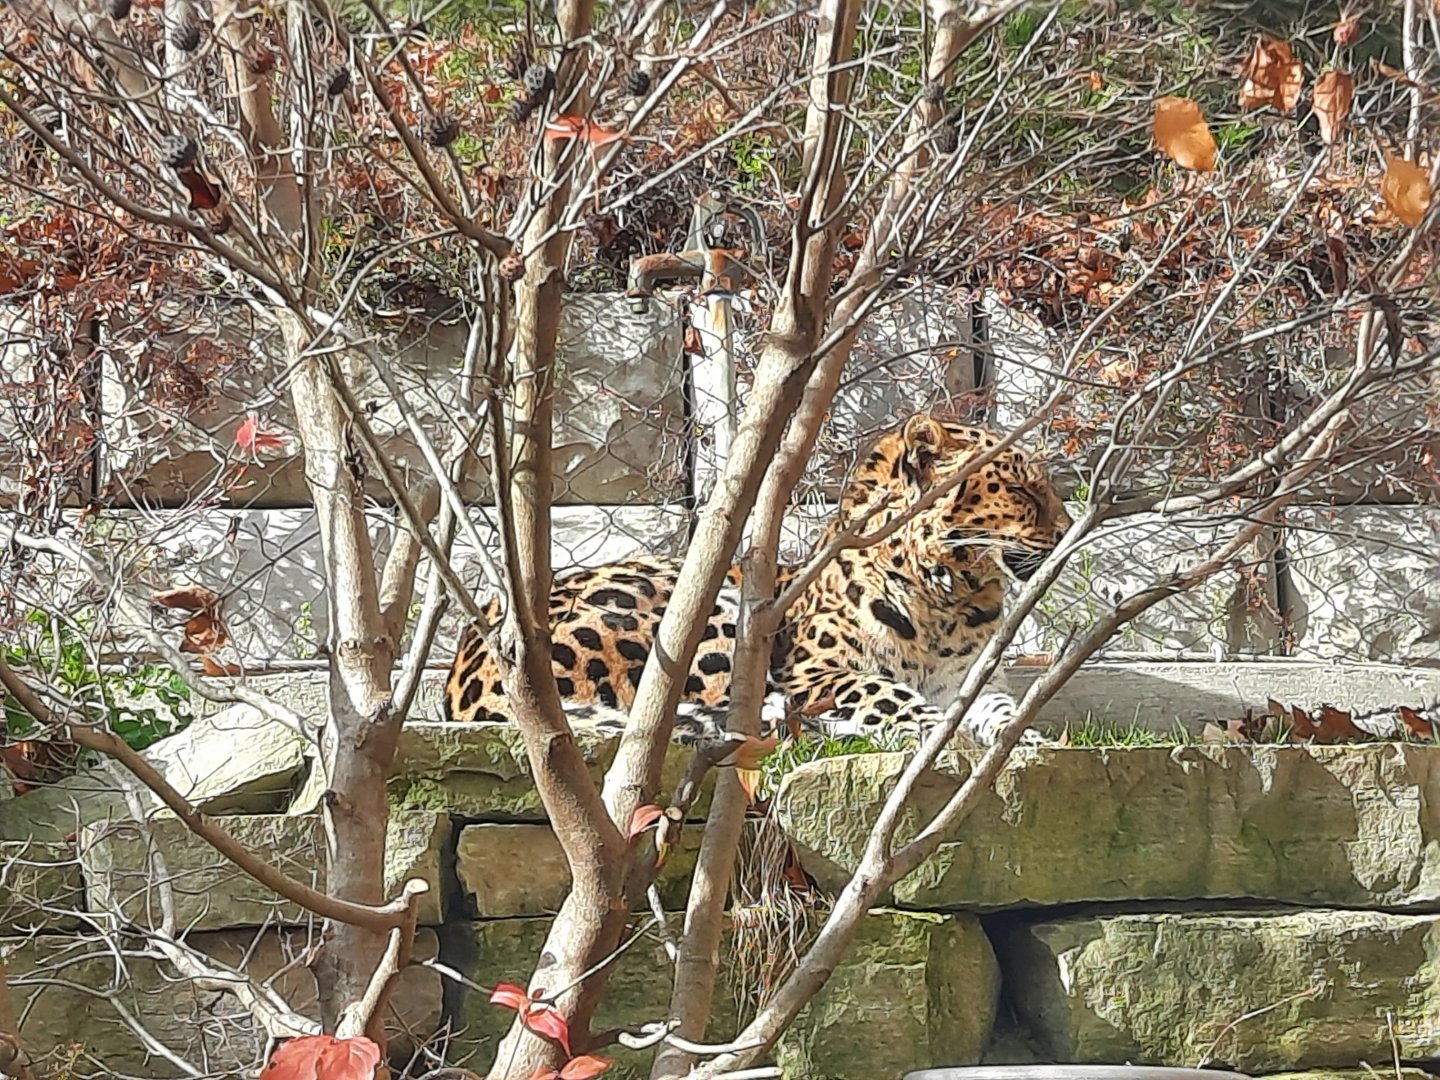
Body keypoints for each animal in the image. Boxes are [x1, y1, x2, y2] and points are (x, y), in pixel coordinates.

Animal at [443, 413, 1073, 747]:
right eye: (1021, 490)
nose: (1070, 531)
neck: (950, 597)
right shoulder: (810, 670)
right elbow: (881, 689)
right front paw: (933, 727)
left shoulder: (970, 680)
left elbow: (999, 708)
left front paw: (1024, 738)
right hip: (707, 613)